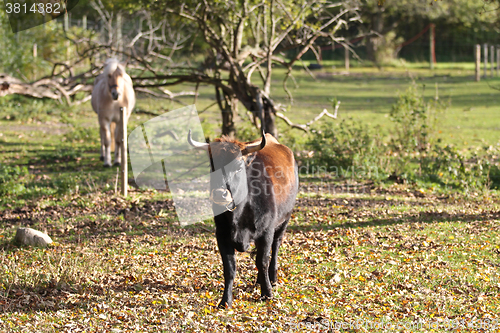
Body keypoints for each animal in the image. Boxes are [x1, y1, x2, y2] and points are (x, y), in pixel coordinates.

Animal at [187, 129, 296, 306]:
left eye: (238, 166)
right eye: (212, 166)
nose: (220, 194)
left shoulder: (266, 232)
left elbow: (262, 261)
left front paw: (267, 293)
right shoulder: (221, 234)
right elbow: (229, 268)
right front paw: (226, 300)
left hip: (284, 221)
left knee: (275, 247)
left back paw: (272, 278)